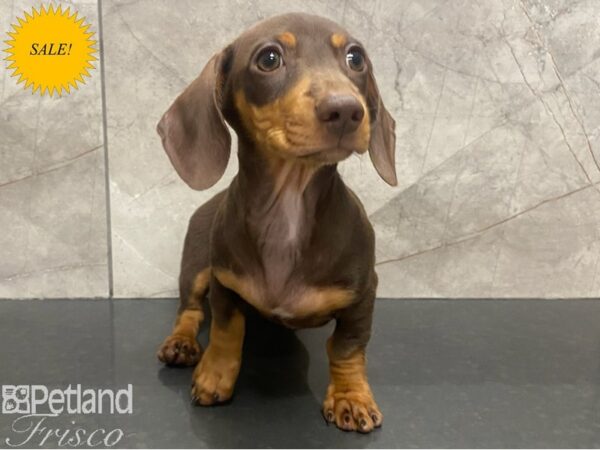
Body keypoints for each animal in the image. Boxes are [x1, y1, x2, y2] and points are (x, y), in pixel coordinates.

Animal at [157, 13, 396, 432]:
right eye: (269, 59)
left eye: (356, 58)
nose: (347, 111)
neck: (288, 210)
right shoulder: (224, 282)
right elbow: (226, 329)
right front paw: (214, 376)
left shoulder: (364, 293)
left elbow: (348, 347)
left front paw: (351, 398)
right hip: (196, 268)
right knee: (190, 309)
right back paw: (182, 343)